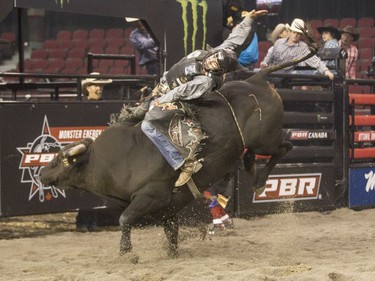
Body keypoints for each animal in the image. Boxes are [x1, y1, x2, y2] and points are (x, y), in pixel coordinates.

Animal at [40, 24, 318, 256]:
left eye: (59, 159)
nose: (42, 174)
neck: (109, 161)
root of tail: (257, 79)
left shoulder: (150, 196)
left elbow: (124, 219)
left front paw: (127, 252)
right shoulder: (168, 210)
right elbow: (171, 233)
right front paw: (170, 252)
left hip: (266, 138)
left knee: (286, 145)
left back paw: (259, 181)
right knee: (254, 153)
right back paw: (251, 169)